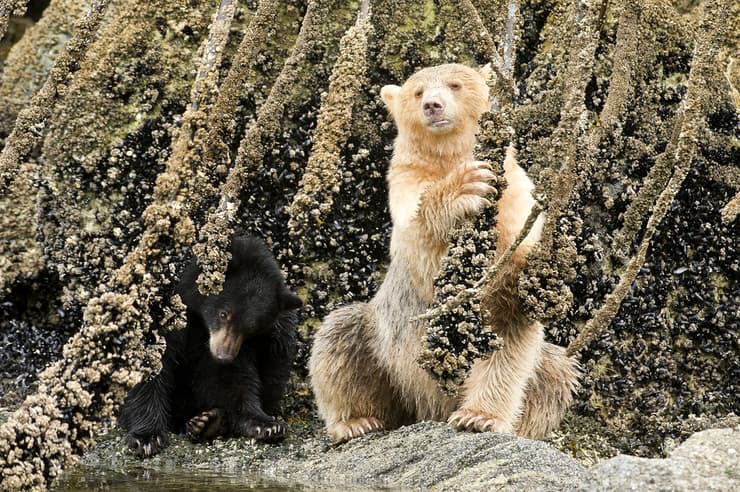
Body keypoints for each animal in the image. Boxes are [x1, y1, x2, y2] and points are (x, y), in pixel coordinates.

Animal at [117, 234, 302, 458]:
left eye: (252, 329)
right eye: (224, 314)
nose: (223, 356)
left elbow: (231, 379)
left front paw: (265, 425)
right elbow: (150, 360)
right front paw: (146, 437)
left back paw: (208, 423)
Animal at [306, 61, 580, 442]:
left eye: (454, 84)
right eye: (418, 91)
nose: (432, 105)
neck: (448, 157)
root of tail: (427, 408)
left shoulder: (516, 194)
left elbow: (509, 326)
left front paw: (479, 417)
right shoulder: (405, 184)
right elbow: (422, 243)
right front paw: (465, 187)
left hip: (542, 367)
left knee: (553, 369)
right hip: (381, 340)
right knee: (340, 338)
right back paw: (356, 421)